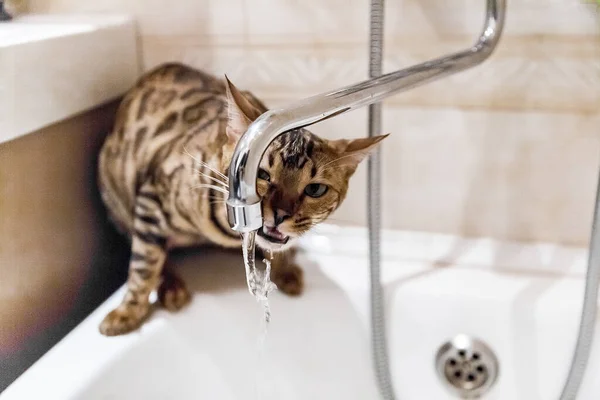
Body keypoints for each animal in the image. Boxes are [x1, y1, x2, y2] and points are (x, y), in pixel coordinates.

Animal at [96, 63, 386, 338]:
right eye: (262, 174)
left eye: (315, 189)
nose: (281, 214)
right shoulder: (151, 195)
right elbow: (144, 264)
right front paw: (128, 311)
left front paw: (285, 269)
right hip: (116, 198)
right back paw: (171, 285)